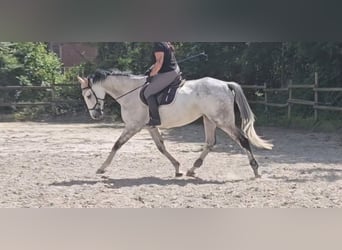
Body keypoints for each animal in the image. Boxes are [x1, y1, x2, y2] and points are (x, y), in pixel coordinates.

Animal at [77, 70, 272, 178]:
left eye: (88, 95)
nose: (96, 115)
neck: (130, 92)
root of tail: (225, 84)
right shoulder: (150, 127)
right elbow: (161, 147)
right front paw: (177, 168)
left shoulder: (133, 126)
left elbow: (116, 145)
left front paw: (102, 168)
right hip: (209, 119)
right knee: (210, 143)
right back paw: (192, 169)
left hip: (223, 120)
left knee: (243, 140)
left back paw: (256, 170)